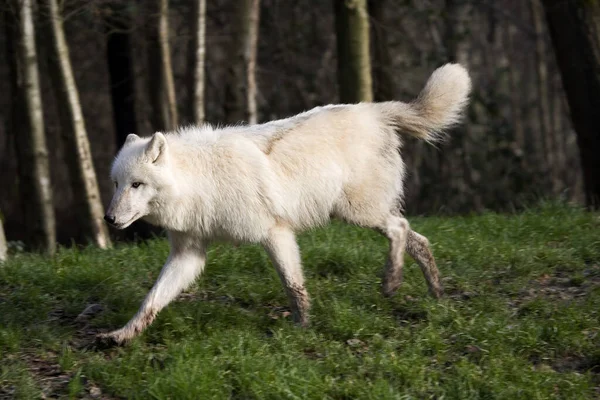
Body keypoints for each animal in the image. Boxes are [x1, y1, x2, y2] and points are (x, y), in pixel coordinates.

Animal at [99, 64, 474, 346]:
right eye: (116, 184)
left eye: (137, 184)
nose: (109, 219)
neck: (201, 182)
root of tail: (374, 109)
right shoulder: (188, 255)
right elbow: (151, 300)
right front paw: (123, 334)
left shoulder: (275, 232)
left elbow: (293, 285)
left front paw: (301, 328)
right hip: (364, 214)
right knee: (419, 239)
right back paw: (437, 293)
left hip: (359, 213)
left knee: (400, 229)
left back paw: (391, 282)